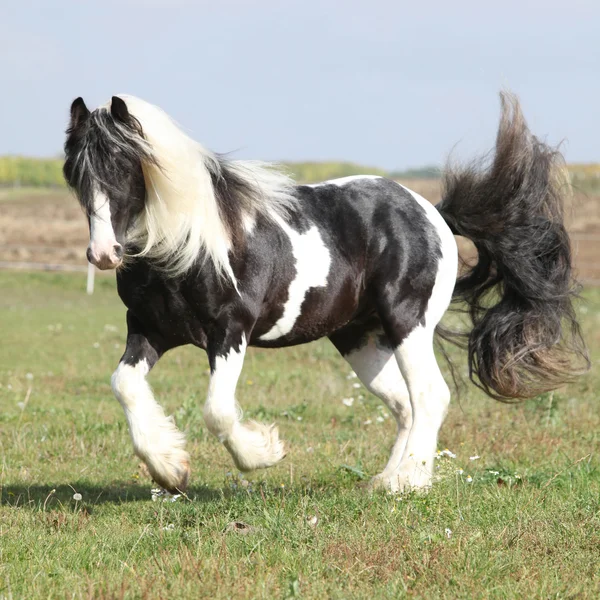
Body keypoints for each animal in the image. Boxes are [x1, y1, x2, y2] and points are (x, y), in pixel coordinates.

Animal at [63, 94, 588, 494]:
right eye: (74, 173)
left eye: (124, 167)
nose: (103, 254)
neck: (186, 245)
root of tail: (433, 213)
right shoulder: (149, 330)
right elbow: (125, 384)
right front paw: (171, 468)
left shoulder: (230, 331)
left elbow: (217, 410)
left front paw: (264, 451)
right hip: (360, 339)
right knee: (404, 404)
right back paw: (384, 480)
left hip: (408, 324)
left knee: (430, 396)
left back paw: (409, 482)